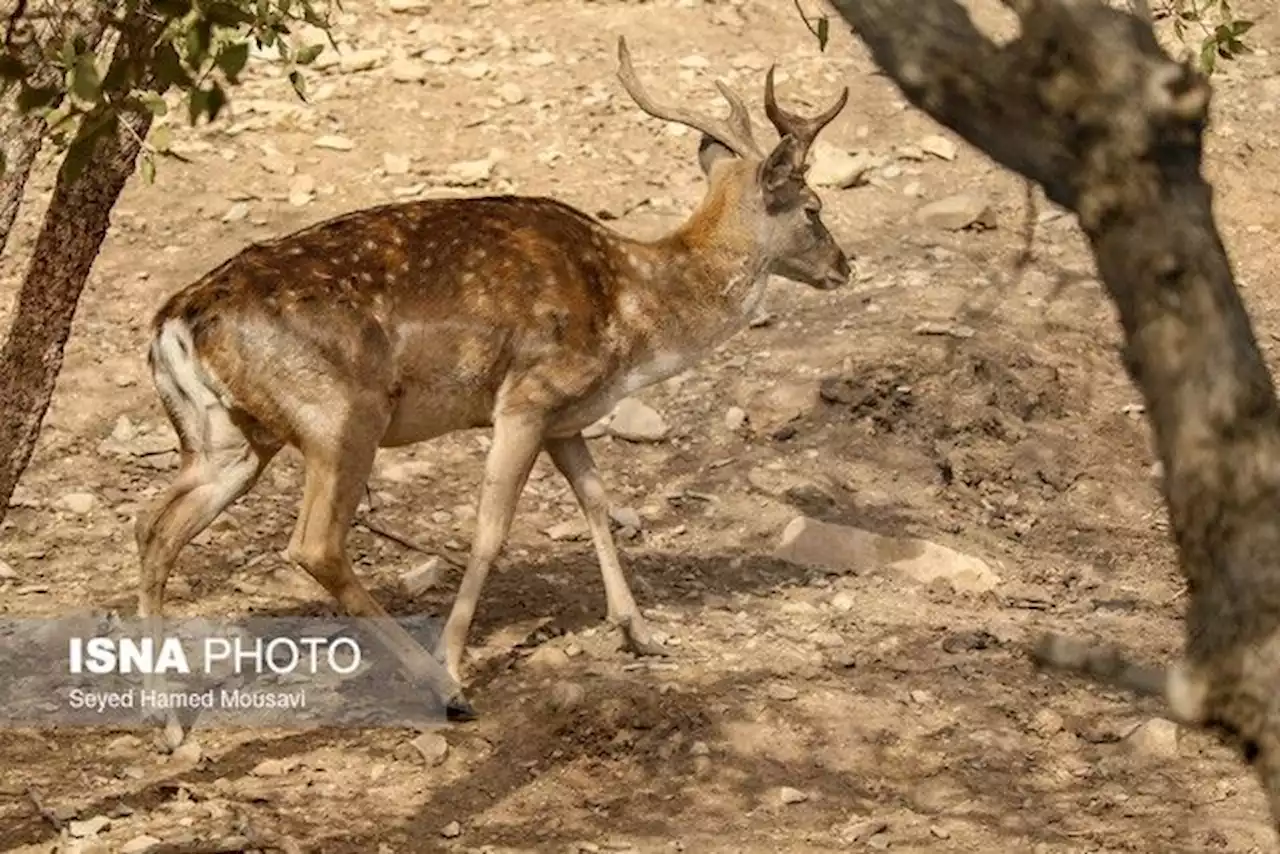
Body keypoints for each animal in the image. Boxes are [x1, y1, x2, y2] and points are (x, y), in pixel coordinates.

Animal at [135, 35, 849, 742]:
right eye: (814, 209)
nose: (845, 265)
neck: (634, 312)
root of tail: (173, 323)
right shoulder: (528, 395)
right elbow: (490, 529)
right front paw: (455, 659)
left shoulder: (567, 417)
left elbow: (596, 500)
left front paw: (641, 632)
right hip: (339, 414)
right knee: (313, 545)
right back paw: (441, 689)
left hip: (230, 439)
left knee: (154, 529)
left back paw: (169, 723)